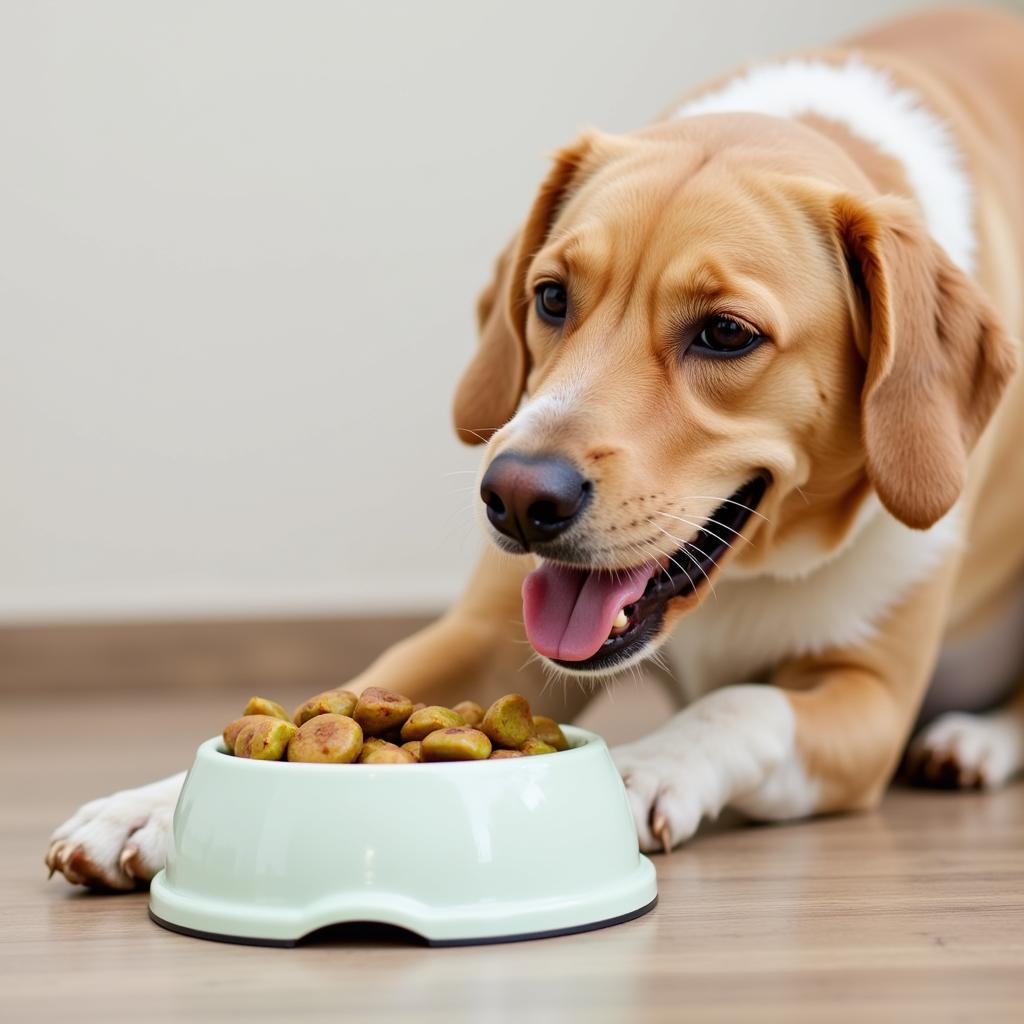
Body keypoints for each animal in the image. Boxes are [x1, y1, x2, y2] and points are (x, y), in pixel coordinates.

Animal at [46, 6, 1024, 888]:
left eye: (726, 333)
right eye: (551, 297)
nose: (516, 496)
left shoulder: (871, 699)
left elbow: (741, 707)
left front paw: (635, 770)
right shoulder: (482, 636)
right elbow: (361, 685)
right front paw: (159, 803)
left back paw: (975, 738)